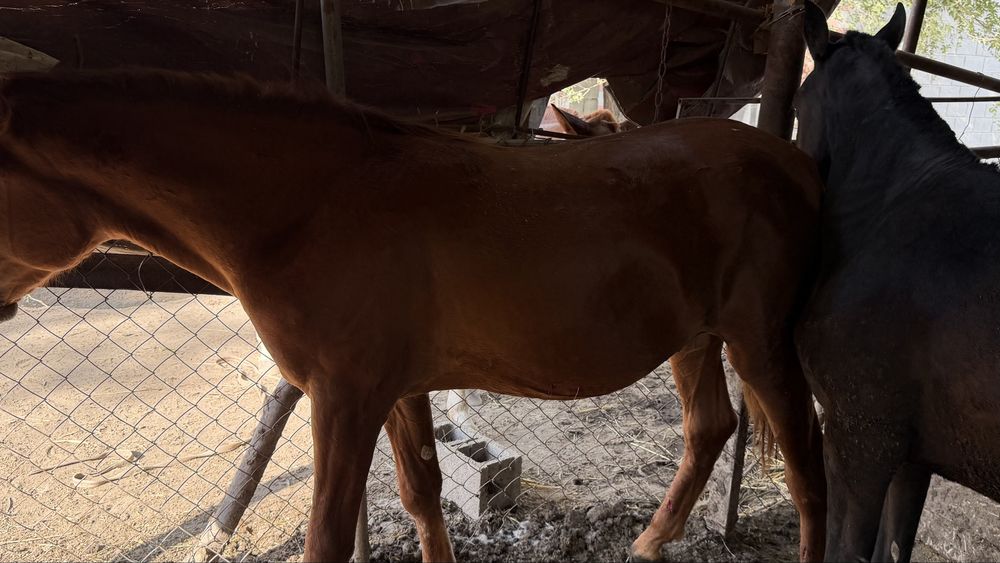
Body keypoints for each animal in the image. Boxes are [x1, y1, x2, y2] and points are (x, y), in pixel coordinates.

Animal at [0, 69, 827, 562]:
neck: (315, 206)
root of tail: (791, 158)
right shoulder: (396, 388)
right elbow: (423, 494)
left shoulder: (343, 398)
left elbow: (331, 533)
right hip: (695, 339)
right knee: (709, 428)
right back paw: (650, 542)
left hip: (759, 343)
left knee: (808, 467)